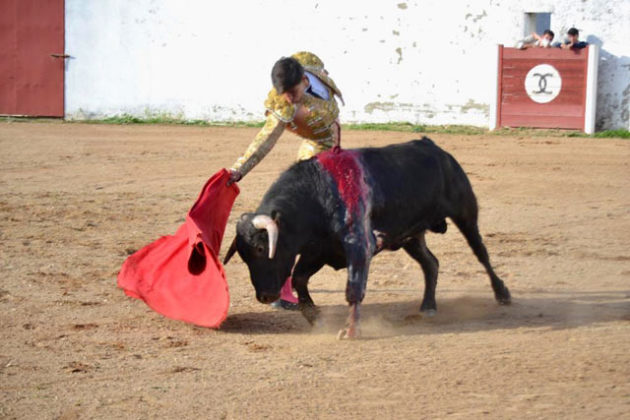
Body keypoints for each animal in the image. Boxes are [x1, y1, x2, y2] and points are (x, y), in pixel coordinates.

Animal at [225, 138, 512, 338]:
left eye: (261, 248)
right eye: (243, 256)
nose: (264, 296)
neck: (316, 195)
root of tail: (434, 147)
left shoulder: (359, 246)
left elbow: (353, 289)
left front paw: (350, 331)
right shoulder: (318, 251)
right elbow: (299, 279)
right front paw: (316, 319)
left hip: (465, 213)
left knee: (481, 253)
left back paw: (502, 294)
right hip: (411, 236)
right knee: (431, 263)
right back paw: (428, 305)